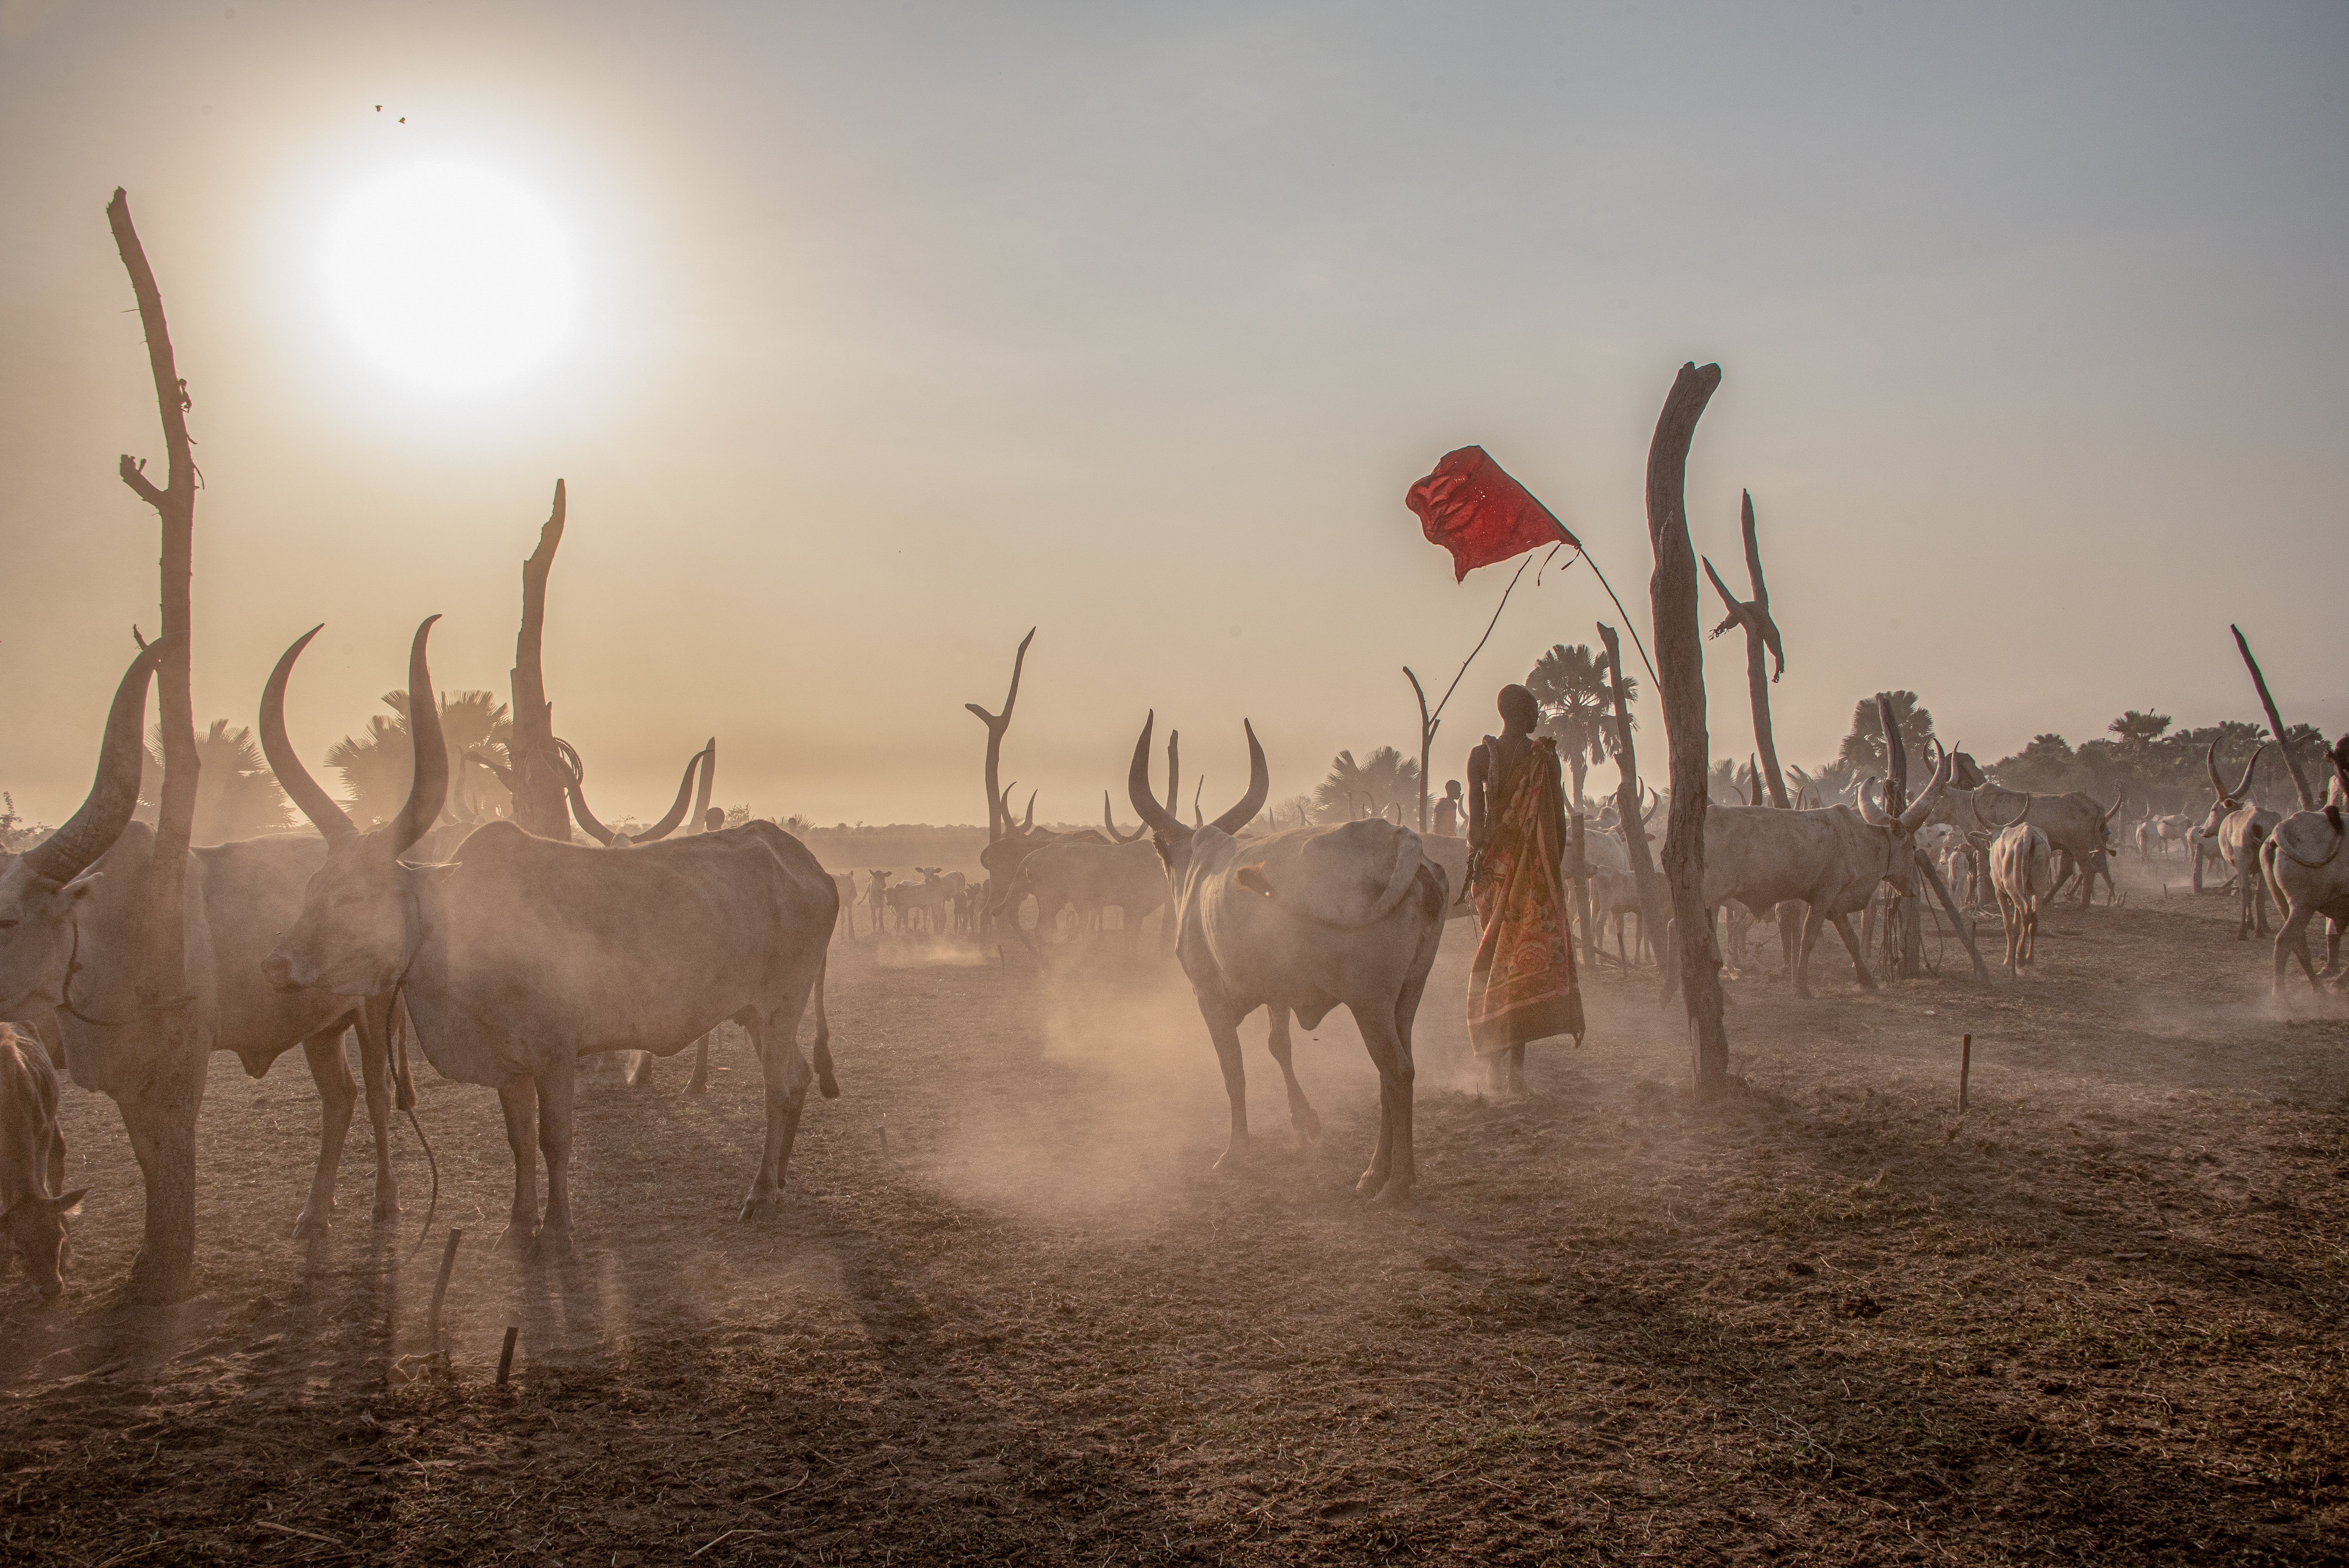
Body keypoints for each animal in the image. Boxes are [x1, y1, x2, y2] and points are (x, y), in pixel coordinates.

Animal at [0, 638, 408, 1249]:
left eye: (8, 919)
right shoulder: (126, 1080)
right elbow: (147, 1159)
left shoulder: (182, 1063)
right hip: (318, 1026)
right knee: (340, 1098)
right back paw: (315, 1213)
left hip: (375, 1010)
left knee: (379, 1095)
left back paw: (385, 1201)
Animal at [262, 620, 845, 1258]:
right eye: (314, 886)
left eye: (354, 896)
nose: (276, 965)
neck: (456, 928)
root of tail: (810, 866)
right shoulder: (510, 1065)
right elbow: (518, 1139)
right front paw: (520, 1226)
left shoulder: (557, 1053)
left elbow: (554, 1138)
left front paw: (561, 1231)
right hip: (758, 1014)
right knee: (797, 1082)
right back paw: (779, 1183)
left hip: (779, 1010)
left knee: (782, 1087)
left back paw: (761, 1194)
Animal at [1123, 718, 1437, 1211]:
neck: (1200, 866)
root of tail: (1398, 838)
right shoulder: (1279, 992)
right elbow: (1279, 1046)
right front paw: (1305, 1121)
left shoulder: (1209, 997)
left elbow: (1234, 1071)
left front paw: (1236, 1151)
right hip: (1407, 995)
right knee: (1396, 1072)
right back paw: (1375, 1174)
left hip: (1370, 1002)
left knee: (1397, 1072)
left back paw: (1395, 1182)